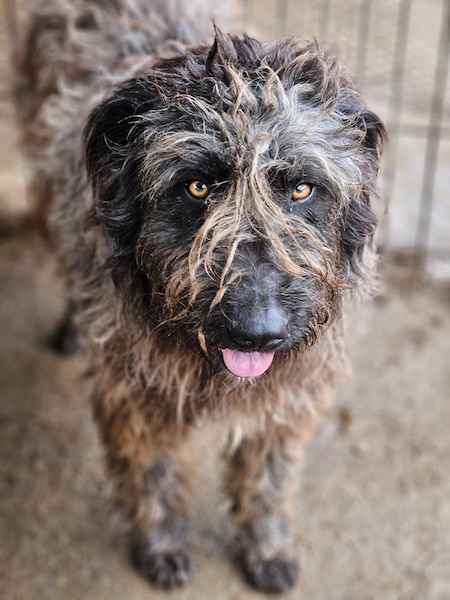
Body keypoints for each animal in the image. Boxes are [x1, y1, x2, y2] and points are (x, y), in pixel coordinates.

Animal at [14, 0, 386, 592]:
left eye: (302, 188)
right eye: (197, 186)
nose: (257, 334)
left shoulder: (289, 395)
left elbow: (268, 476)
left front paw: (267, 546)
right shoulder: (136, 392)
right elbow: (154, 472)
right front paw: (161, 545)